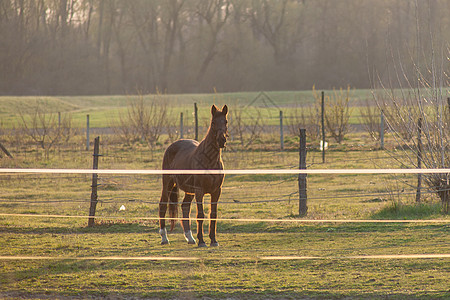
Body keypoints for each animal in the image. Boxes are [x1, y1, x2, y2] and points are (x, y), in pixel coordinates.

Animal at [159, 104, 229, 247]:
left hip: (188, 191)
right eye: (213, 123)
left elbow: (213, 215)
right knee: (163, 205)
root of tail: (172, 145)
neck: (209, 160)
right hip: (168, 183)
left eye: (225, 121)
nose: (222, 140)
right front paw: (202, 241)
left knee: (185, 206)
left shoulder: (216, 191)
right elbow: (200, 215)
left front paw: (213, 240)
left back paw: (190, 238)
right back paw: (164, 238)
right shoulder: (199, 191)